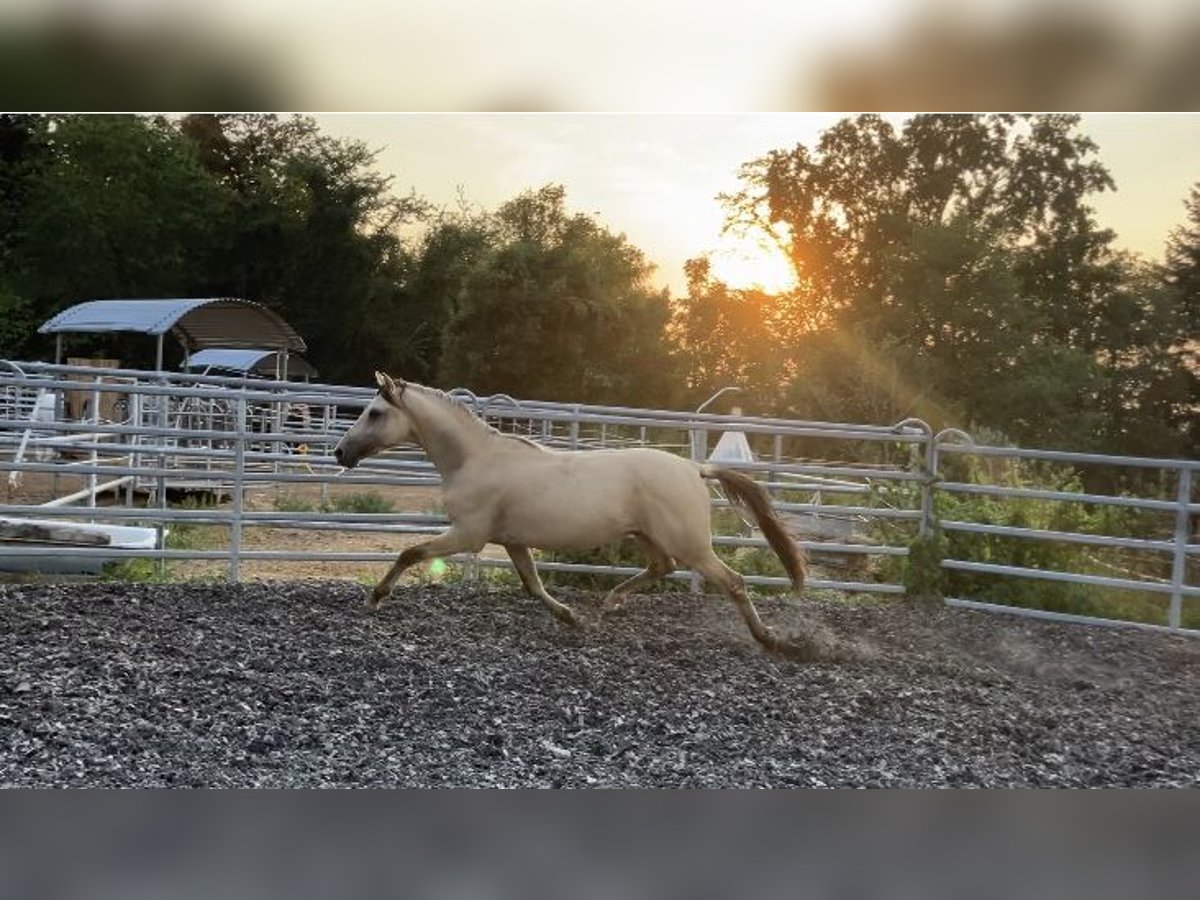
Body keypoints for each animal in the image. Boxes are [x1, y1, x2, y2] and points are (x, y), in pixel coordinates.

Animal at [333, 374, 811, 657]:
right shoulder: (512, 540)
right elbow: (532, 584)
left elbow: (410, 553)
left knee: (733, 582)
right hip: (646, 535)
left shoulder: (468, 535)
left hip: (690, 543)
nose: (340, 452)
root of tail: (695, 468)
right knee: (662, 567)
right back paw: (611, 601)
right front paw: (569, 616)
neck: (474, 459)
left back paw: (769, 639)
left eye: (375, 412)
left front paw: (375, 598)